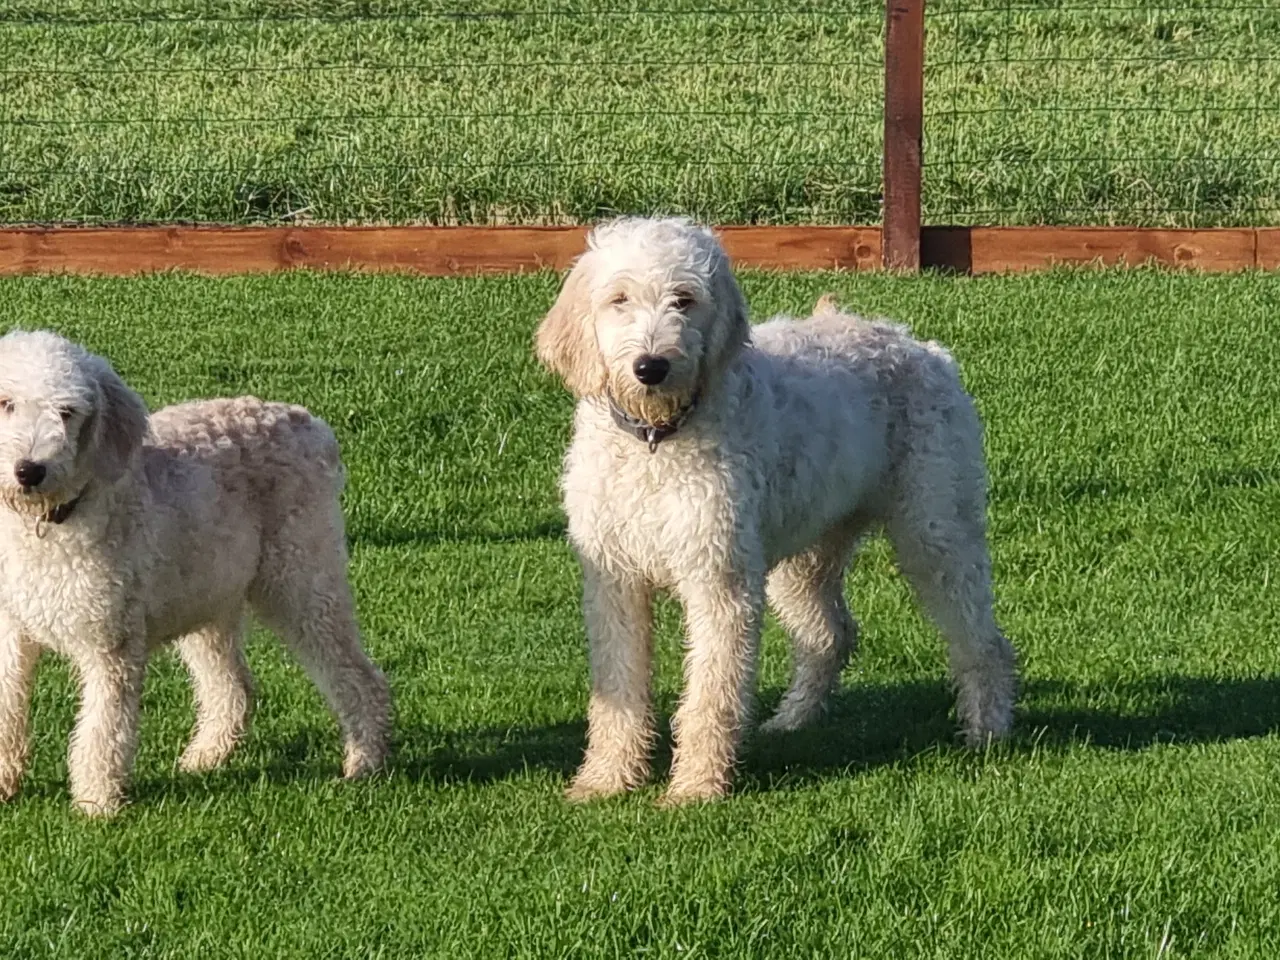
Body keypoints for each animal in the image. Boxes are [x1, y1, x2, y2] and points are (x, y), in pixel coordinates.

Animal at [0, 332, 391, 819]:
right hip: (208, 598)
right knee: (233, 688)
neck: (49, 526)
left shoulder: (112, 643)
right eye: (6, 403)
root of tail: (311, 425)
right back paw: (204, 758)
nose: (28, 470)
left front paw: (97, 803)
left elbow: (103, 729)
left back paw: (365, 760)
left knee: (359, 676)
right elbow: (7, 709)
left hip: (304, 580)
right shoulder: (9, 631)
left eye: (67, 412)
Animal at [535, 216, 1013, 803]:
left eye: (684, 299)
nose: (651, 366)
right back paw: (792, 720)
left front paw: (696, 788)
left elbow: (712, 692)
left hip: (937, 528)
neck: (656, 444)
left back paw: (987, 729)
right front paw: (606, 779)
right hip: (803, 555)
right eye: (618, 299)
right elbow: (619, 687)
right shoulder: (614, 581)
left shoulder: (719, 580)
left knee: (982, 639)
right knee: (831, 634)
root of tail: (915, 343)